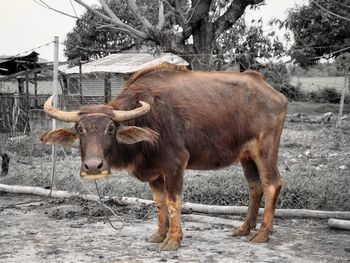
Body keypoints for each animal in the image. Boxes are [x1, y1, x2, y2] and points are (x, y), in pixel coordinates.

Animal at [40, 64, 288, 252]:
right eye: (79, 129)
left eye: (110, 128)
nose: (93, 167)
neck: (147, 122)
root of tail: (274, 94)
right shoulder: (154, 172)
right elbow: (159, 202)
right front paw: (159, 234)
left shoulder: (175, 164)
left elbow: (173, 201)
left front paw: (173, 240)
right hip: (246, 156)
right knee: (254, 187)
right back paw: (244, 228)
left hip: (265, 149)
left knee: (271, 184)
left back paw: (262, 233)